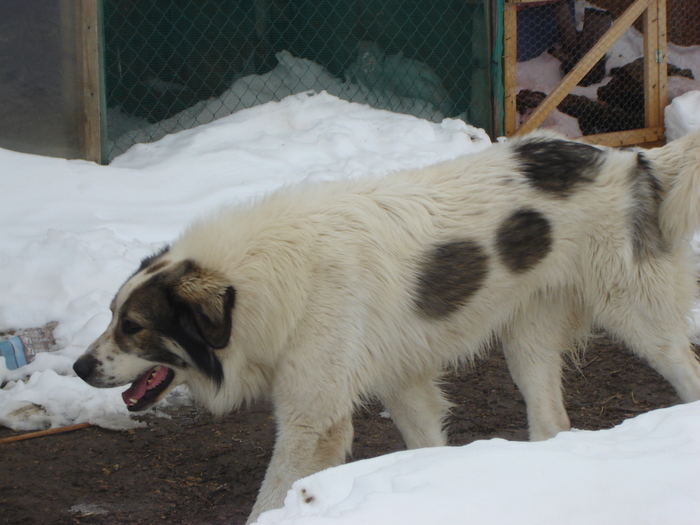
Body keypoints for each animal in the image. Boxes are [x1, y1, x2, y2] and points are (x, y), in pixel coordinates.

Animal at [74, 130, 700, 520]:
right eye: (111, 316)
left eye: (133, 326)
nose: (79, 367)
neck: (263, 282)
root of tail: (631, 162)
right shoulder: (404, 383)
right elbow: (426, 445)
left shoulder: (314, 421)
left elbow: (271, 497)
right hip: (528, 342)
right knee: (553, 420)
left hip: (642, 320)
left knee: (685, 371)